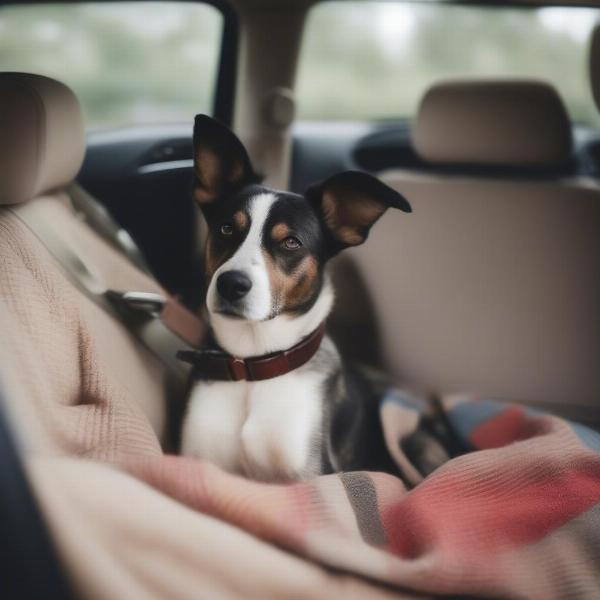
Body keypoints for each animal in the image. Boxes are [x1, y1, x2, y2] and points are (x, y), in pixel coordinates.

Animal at [180, 115, 410, 482]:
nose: (231, 284)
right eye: (226, 229)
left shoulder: (311, 473)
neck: (252, 367)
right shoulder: (199, 460)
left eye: (291, 242)